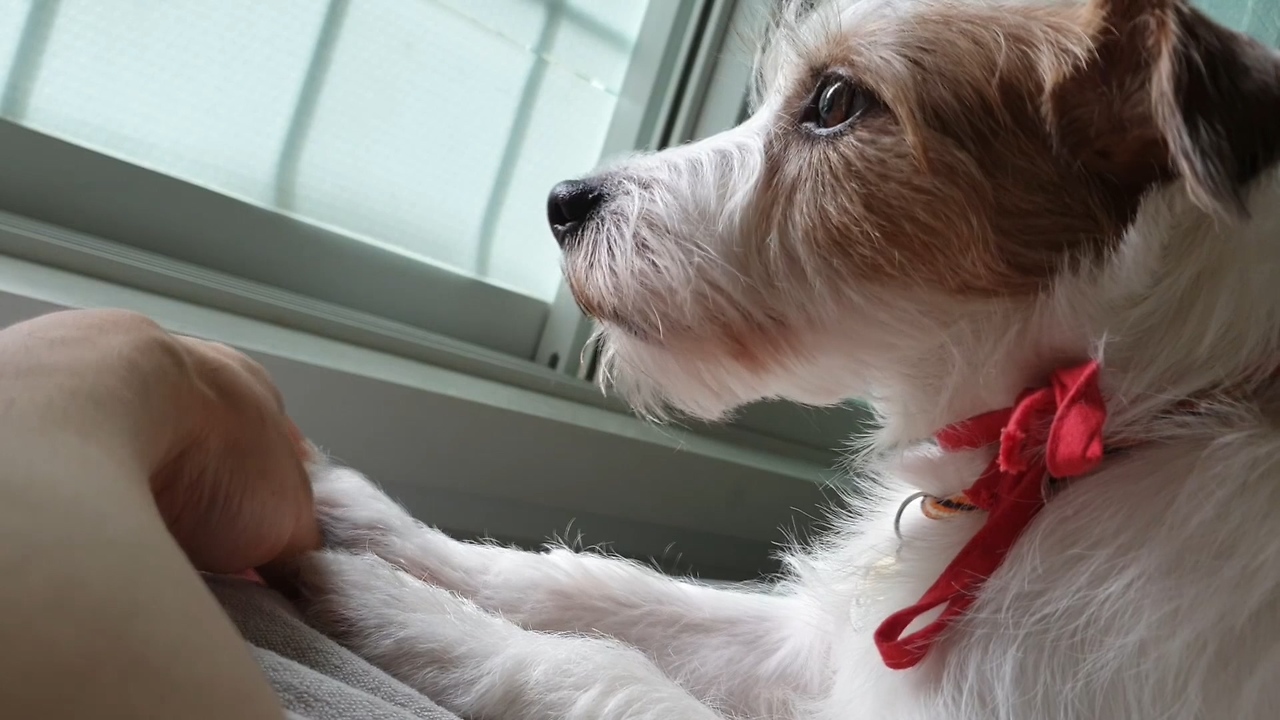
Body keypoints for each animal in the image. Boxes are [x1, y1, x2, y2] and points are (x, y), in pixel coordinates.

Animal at [288, 0, 1280, 712]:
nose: (563, 201)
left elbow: (602, 669)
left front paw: (387, 604)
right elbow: (605, 588)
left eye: (837, 101)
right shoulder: (818, 641)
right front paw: (378, 534)